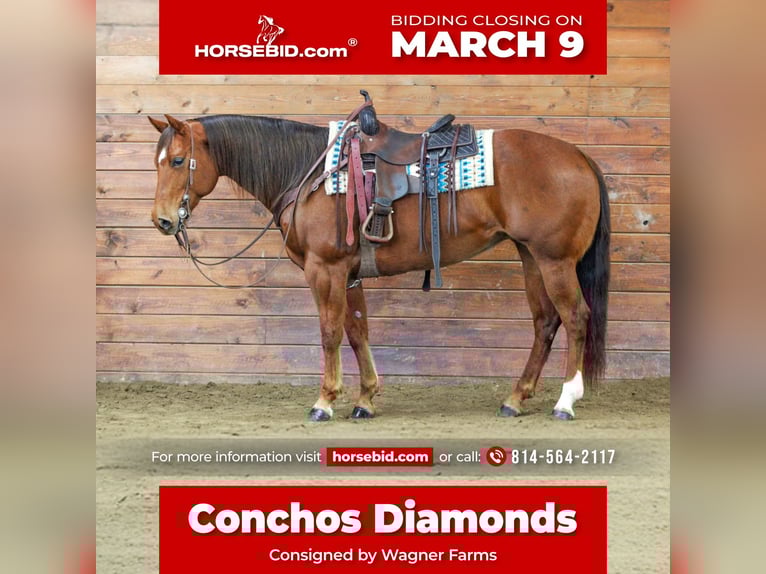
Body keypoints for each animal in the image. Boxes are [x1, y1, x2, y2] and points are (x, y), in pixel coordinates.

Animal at [148, 94, 610, 422]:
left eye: (178, 160)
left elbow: (330, 331)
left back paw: (566, 401)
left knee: (575, 318)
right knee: (545, 322)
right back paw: (516, 397)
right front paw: (366, 399)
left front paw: (324, 401)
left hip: (554, 260)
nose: (163, 220)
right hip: (531, 256)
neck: (308, 172)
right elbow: (357, 331)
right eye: (158, 163)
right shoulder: (350, 273)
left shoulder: (325, 269)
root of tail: (579, 156)